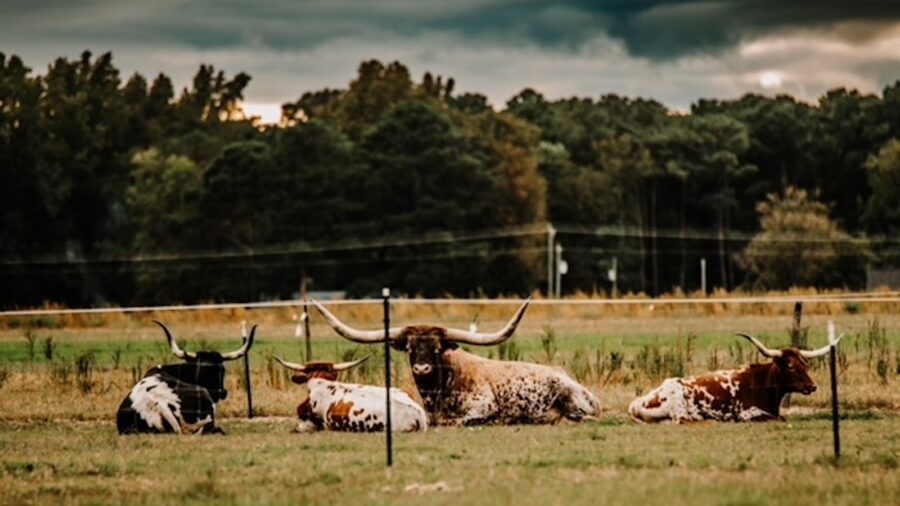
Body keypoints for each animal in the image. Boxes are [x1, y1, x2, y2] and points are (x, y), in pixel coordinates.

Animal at [310, 299, 601, 426]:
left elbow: (456, 421)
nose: (422, 368)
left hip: (570, 399)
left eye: (437, 348)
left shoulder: (484, 405)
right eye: (411, 349)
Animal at [628, 332, 841, 423]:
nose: (812, 386)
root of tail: (635, 404)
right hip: (680, 409)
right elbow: (779, 418)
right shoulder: (747, 413)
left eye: (805, 364)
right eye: (790, 366)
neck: (762, 384)